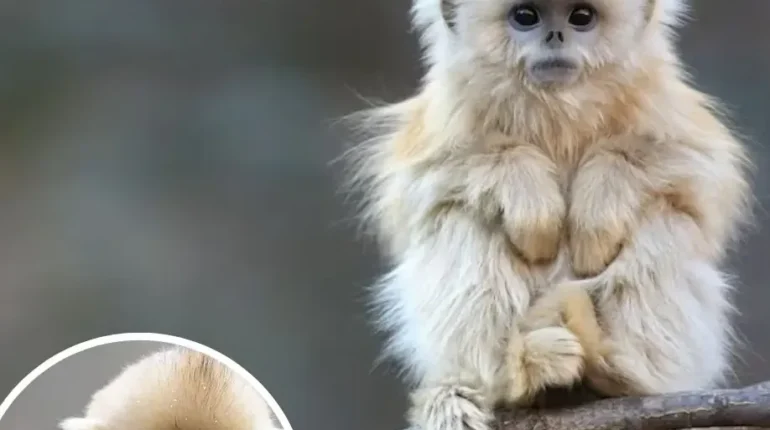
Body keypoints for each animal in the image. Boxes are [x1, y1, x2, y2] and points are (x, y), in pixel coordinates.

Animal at [341, 0, 752, 428]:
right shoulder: (443, 121)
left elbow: (696, 170)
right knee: (460, 217)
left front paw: (595, 216)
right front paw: (531, 202)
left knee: (666, 219)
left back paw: (620, 374)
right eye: (526, 16)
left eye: (581, 17)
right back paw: (514, 375)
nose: (555, 36)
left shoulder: (663, 106)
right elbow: (423, 182)